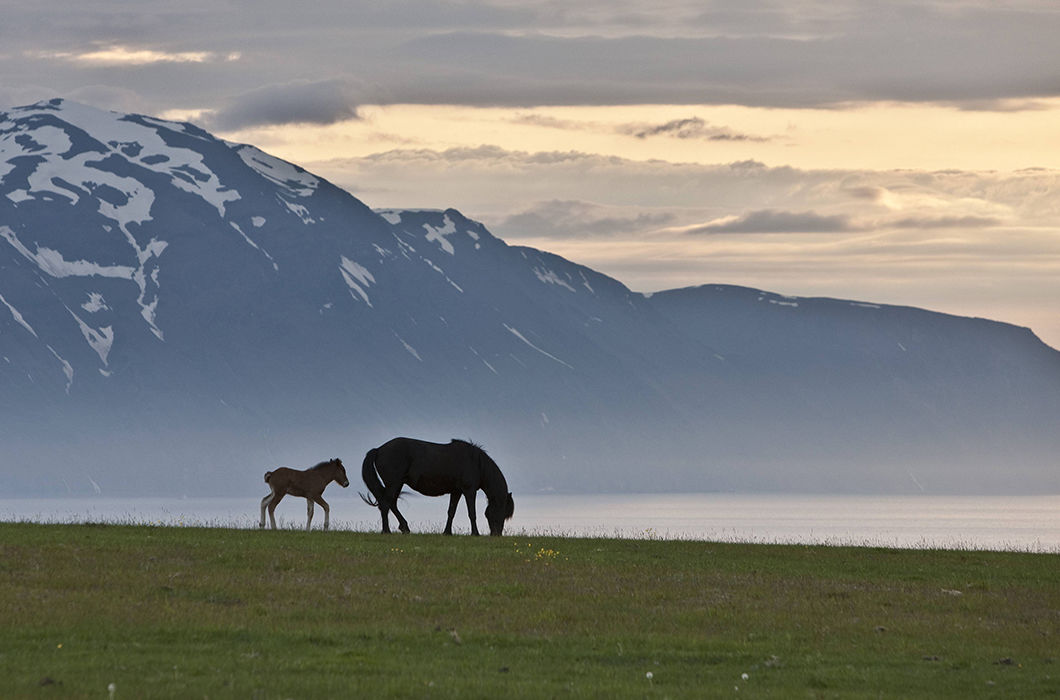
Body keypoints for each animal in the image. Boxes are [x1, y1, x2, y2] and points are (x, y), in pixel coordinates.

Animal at [360, 436, 517, 536]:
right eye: (502, 511)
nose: (497, 534)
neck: (476, 463)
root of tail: (379, 449)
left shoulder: (456, 492)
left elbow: (451, 512)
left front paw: (447, 532)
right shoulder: (469, 491)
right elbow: (472, 513)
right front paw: (475, 533)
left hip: (397, 484)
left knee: (391, 503)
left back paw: (404, 528)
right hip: (393, 483)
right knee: (385, 504)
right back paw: (386, 531)